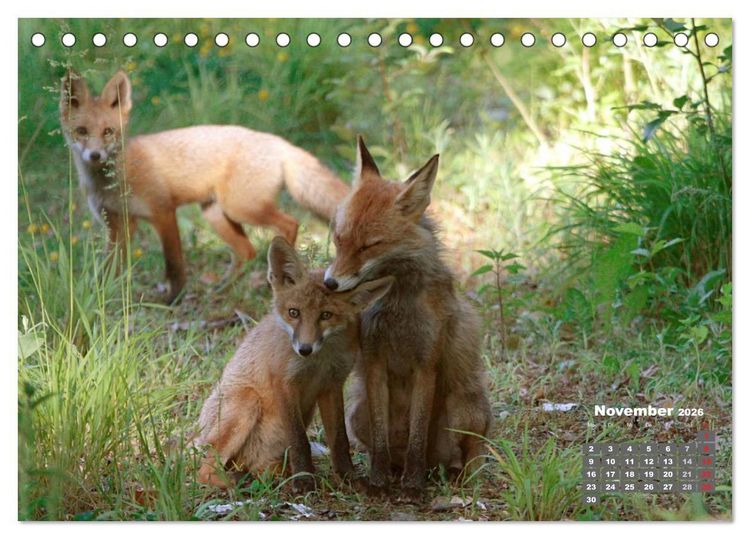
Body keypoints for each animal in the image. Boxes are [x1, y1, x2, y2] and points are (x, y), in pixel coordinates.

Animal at [59, 69, 349, 303]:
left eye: (108, 131)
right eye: (82, 131)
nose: (95, 155)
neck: (114, 181)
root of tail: (278, 141)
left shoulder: (163, 212)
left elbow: (174, 264)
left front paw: (173, 299)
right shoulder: (118, 225)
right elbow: (109, 267)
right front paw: (101, 295)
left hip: (243, 208)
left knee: (289, 224)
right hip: (216, 214)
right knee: (247, 251)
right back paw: (223, 289)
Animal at [196, 236, 394, 492]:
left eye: (326, 315)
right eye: (294, 312)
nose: (304, 349)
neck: (320, 361)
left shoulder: (332, 385)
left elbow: (340, 440)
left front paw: (348, 477)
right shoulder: (284, 383)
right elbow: (299, 440)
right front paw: (305, 480)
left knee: (260, 468)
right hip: (247, 402)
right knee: (204, 471)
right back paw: (238, 481)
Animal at [323, 137, 493, 498]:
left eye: (369, 246)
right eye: (339, 239)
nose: (330, 283)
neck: (397, 305)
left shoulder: (426, 364)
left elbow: (418, 434)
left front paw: (413, 486)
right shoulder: (374, 361)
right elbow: (380, 439)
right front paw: (378, 480)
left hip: (462, 408)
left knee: (469, 454)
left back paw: (453, 477)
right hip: (355, 414)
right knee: (390, 448)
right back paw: (396, 471)